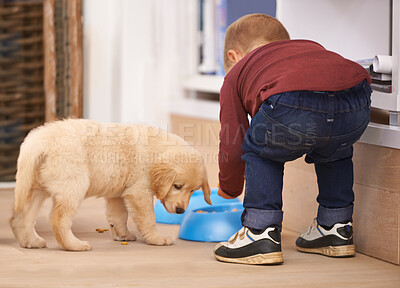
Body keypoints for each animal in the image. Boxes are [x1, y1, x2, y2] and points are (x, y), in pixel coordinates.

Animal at [9, 118, 211, 251]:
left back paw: (31, 242)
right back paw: (74, 245)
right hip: (73, 185)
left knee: (21, 218)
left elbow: (118, 216)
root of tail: (39, 142)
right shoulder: (139, 192)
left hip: (34, 188)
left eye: (193, 191)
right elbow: (148, 218)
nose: (180, 211)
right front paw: (157, 238)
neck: (155, 152)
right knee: (58, 219)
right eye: (177, 186)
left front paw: (123, 235)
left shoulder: (117, 194)